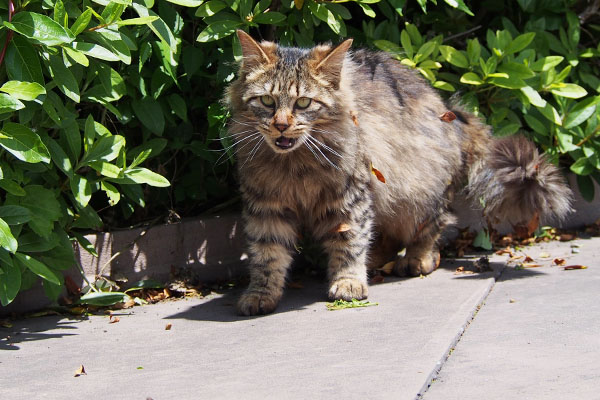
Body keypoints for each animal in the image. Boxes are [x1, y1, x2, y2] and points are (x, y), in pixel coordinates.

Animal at [223, 29, 576, 316]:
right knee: (389, 236)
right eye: (267, 101)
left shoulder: (350, 198)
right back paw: (377, 260)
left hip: (417, 194)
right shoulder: (266, 205)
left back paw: (416, 260)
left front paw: (348, 282)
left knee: (432, 229)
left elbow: (349, 242)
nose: (281, 125)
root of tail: (450, 111)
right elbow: (267, 255)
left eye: (304, 104)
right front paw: (261, 294)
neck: (295, 166)